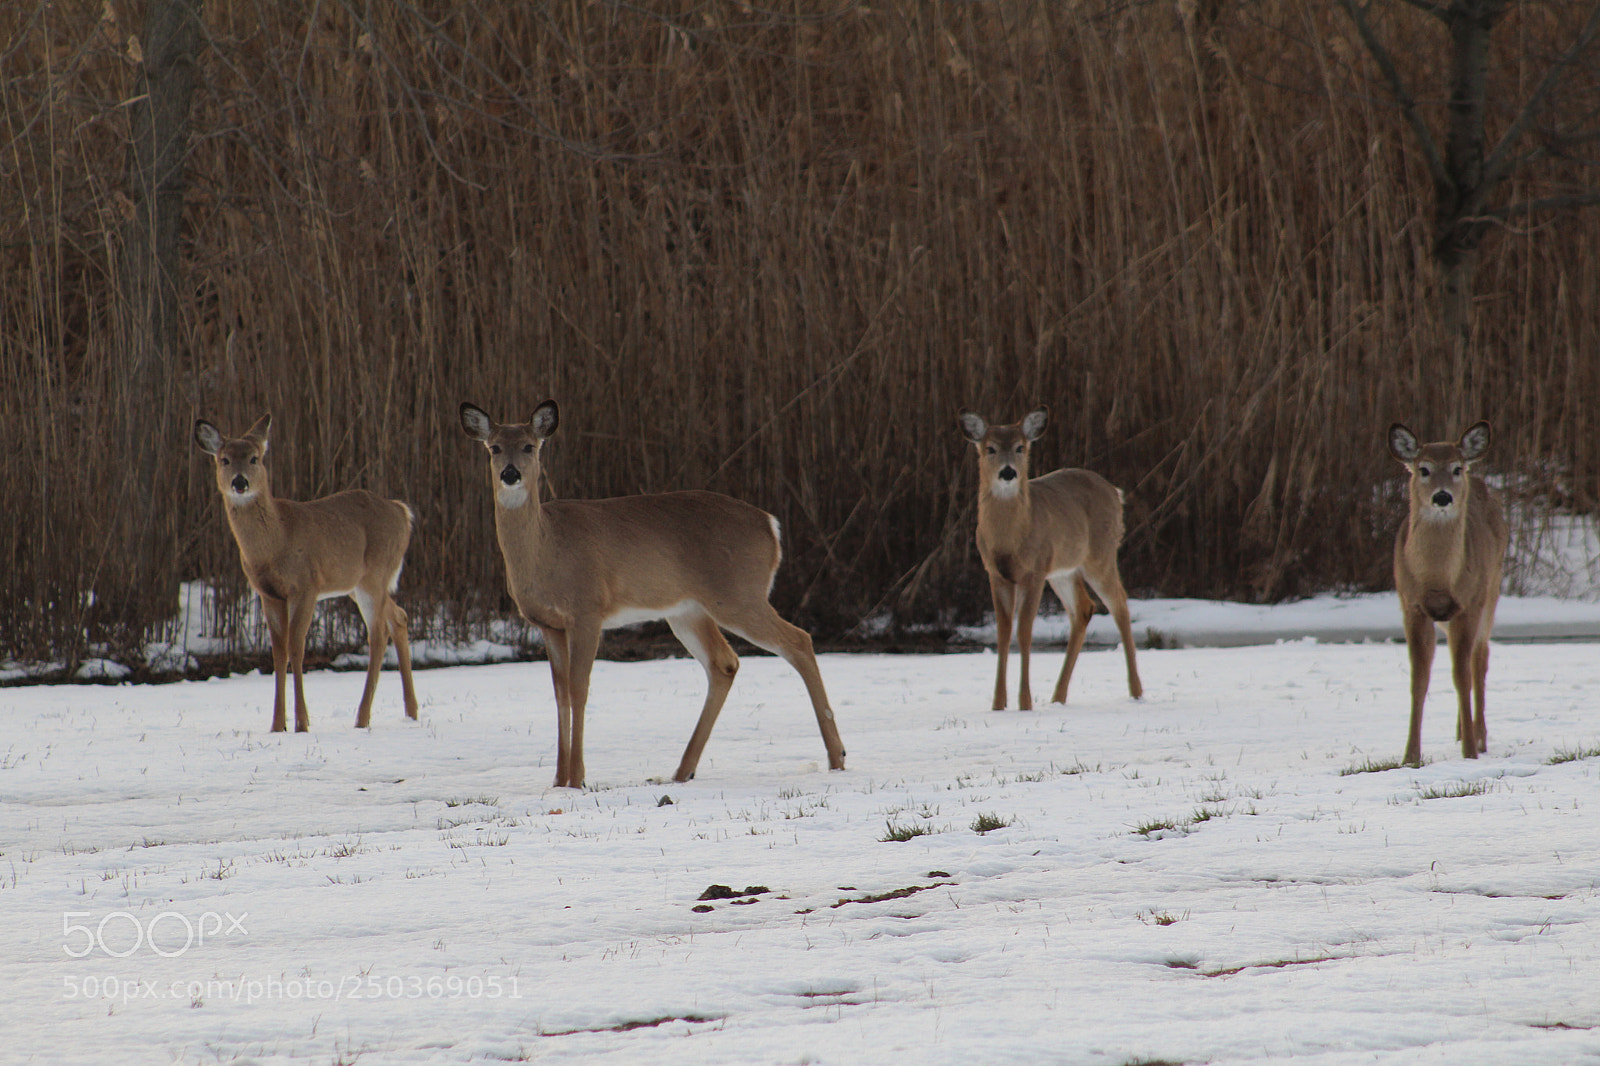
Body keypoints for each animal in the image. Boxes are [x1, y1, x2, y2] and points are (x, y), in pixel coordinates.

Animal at [194, 415, 419, 732]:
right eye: (224, 460)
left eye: (254, 458)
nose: (240, 482)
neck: (276, 542)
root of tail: (403, 512)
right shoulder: (268, 594)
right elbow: (278, 652)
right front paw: (277, 725)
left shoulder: (306, 585)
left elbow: (297, 647)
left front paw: (302, 723)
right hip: (358, 583)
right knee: (399, 617)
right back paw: (411, 711)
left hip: (374, 574)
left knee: (378, 634)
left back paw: (361, 718)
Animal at [459, 400, 847, 789]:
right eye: (494, 448)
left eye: (529, 446)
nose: (510, 474)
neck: (547, 549)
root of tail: (771, 525)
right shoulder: (547, 624)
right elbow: (560, 694)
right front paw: (557, 781)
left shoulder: (588, 610)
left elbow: (579, 688)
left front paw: (578, 779)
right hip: (688, 611)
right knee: (725, 663)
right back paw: (682, 771)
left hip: (739, 594)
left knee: (798, 640)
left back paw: (837, 757)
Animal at [959, 407, 1143, 711]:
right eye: (990, 449)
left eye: (1020, 447)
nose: (1008, 472)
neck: (1009, 540)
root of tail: (1116, 493)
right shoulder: (996, 574)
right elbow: (1003, 633)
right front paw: (998, 704)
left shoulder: (1034, 570)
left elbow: (1024, 632)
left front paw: (1024, 703)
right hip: (1063, 571)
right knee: (1084, 608)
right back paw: (1058, 697)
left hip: (1100, 555)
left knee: (1120, 604)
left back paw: (1136, 691)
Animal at [1387, 421, 1508, 767]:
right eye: (1424, 469)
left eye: (1455, 468)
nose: (1443, 497)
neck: (1437, 579)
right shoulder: (1411, 606)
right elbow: (1419, 679)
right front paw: (1410, 756)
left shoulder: (1468, 605)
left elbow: (1461, 676)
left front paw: (1469, 753)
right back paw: (1459, 731)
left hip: (1491, 591)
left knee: (1479, 660)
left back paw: (1478, 736)